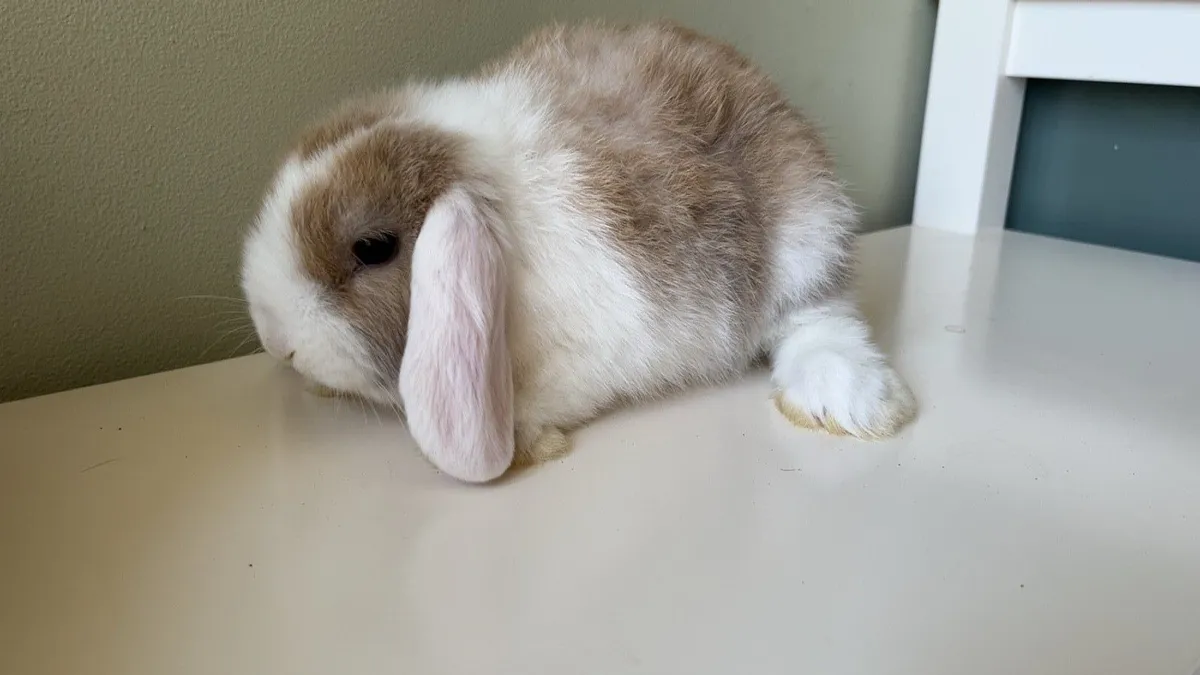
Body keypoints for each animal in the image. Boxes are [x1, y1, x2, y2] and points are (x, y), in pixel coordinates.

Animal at [240, 19, 916, 483]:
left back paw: (849, 400)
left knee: (816, 318)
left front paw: (520, 437)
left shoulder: (607, 338)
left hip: (806, 231)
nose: (277, 342)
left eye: (374, 248)